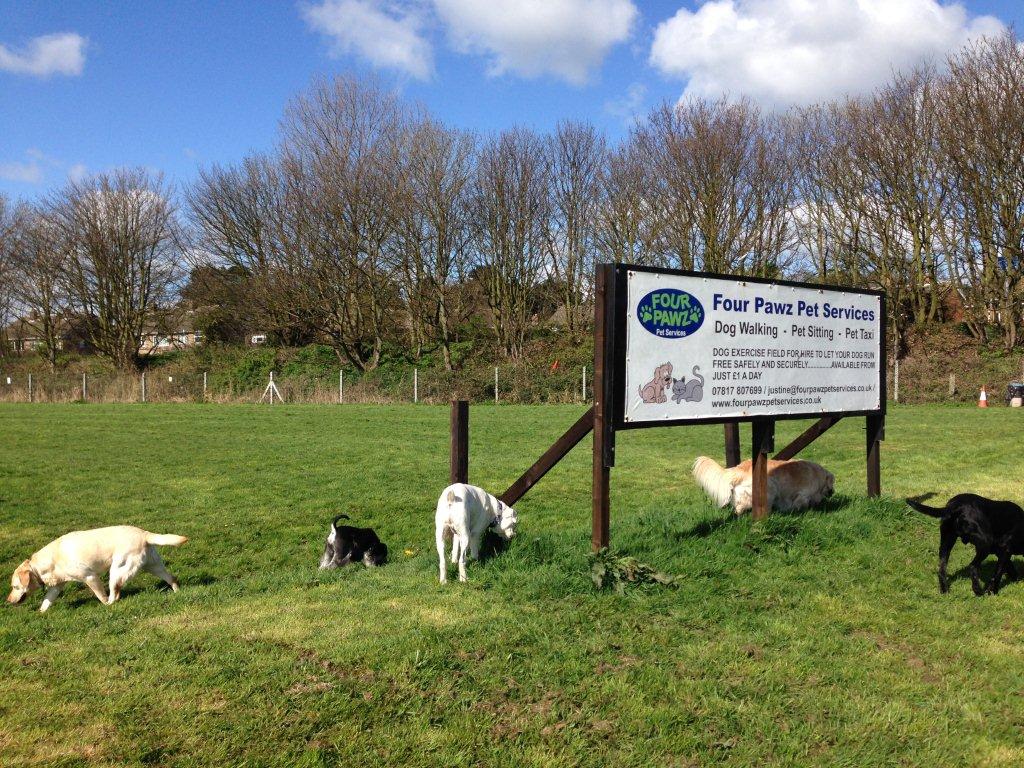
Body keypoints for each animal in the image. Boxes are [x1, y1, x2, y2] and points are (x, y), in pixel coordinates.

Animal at [7, 524, 188, 614]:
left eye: (15, 586)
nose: (8, 601)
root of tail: (144, 533)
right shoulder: (56, 587)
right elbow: (46, 602)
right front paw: (39, 613)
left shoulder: (90, 577)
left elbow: (101, 596)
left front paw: (103, 603)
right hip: (153, 566)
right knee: (172, 578)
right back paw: (177, 593)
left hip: (116, 571)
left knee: (114, 596)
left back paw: (110, 605)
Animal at [692, 456, 835, 518]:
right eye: (832, 484)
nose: (833, 492)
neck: (818, 475)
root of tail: (739, 468)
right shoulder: (803, 495)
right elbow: (801, 504)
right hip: (769, 489)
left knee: (738, 508)